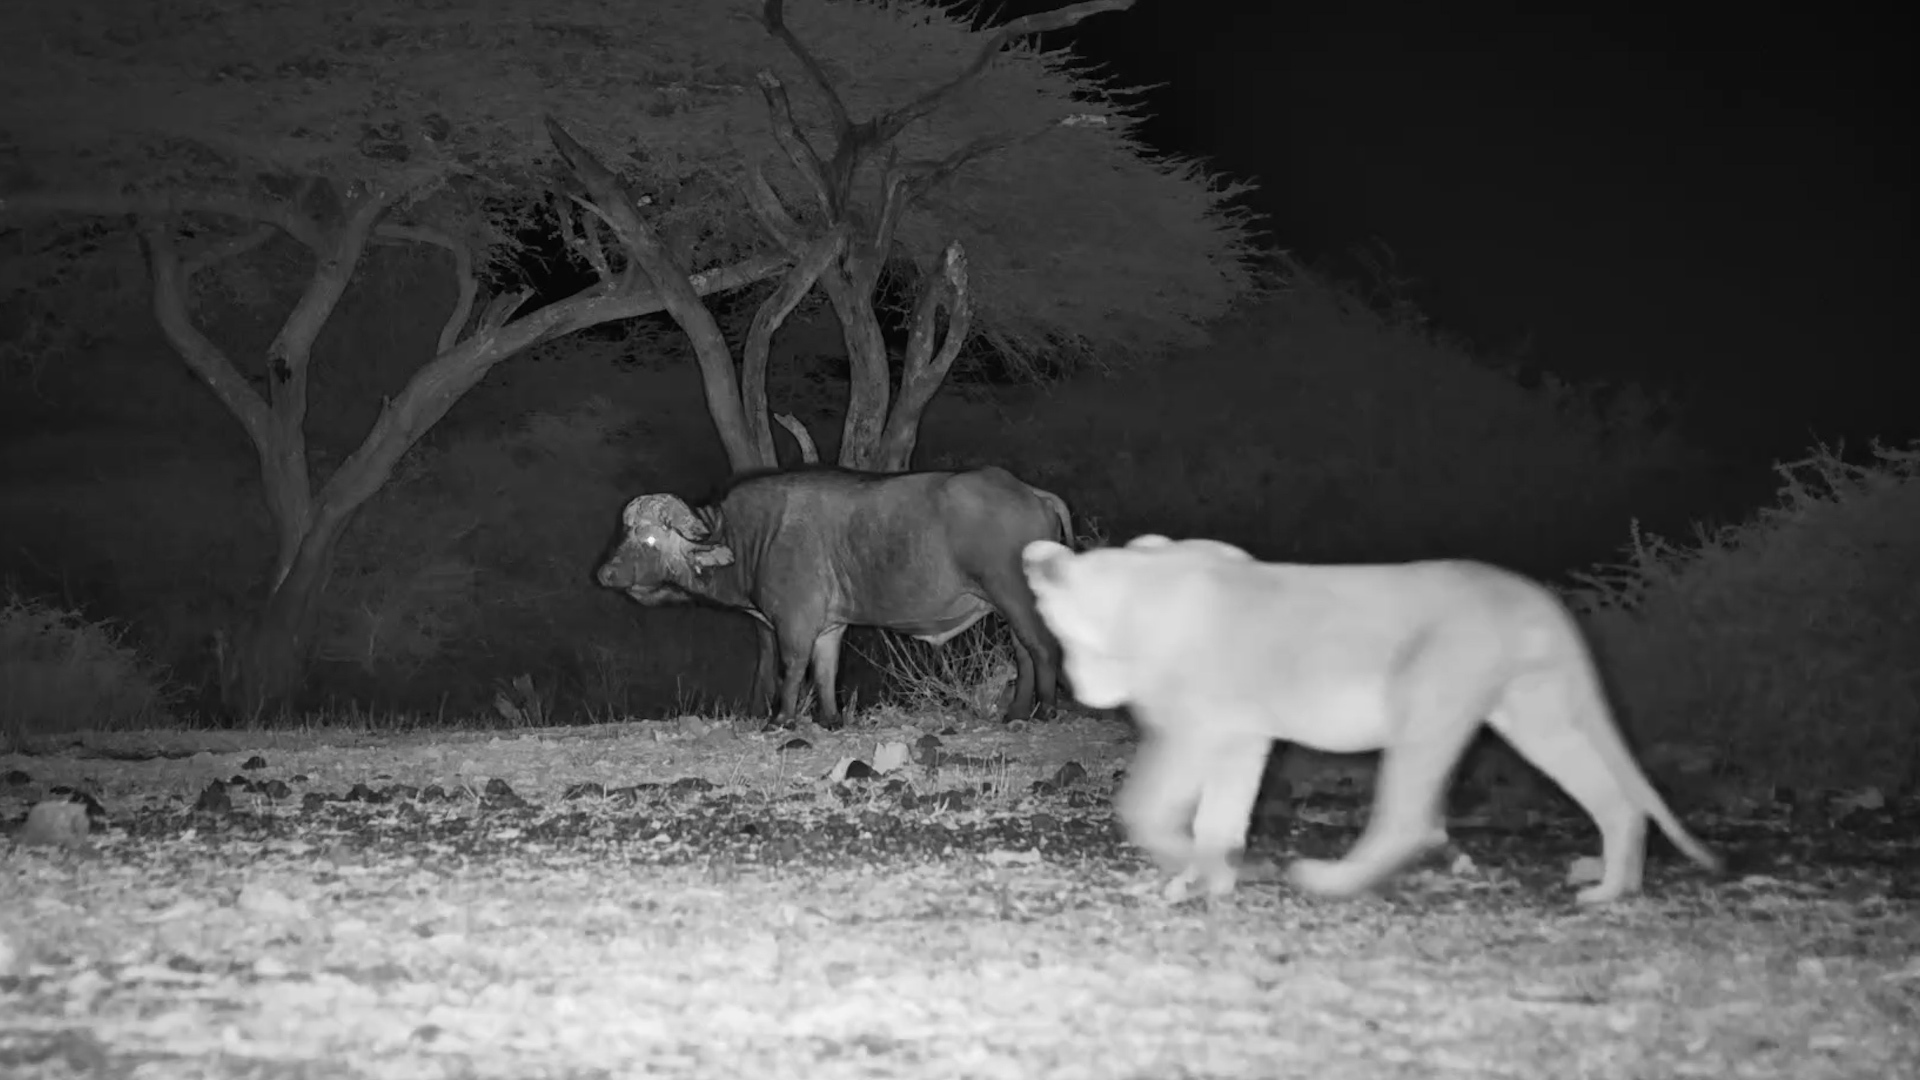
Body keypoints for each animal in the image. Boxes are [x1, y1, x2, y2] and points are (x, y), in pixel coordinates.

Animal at [597, 465, 1073, 728]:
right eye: (626, 532)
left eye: (649, 538)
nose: (605, 574)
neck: (753, 535)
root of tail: (1031, 493)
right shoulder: (830, 626)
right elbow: (825, 671)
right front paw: (829, 719)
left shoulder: (795, 621)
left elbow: (792, 667)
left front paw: (782, 719)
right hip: (1005, 604)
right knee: (1024, 651)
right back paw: (1016, 712)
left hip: (1015, 595)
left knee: (1041, 647)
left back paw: (1045, 710)